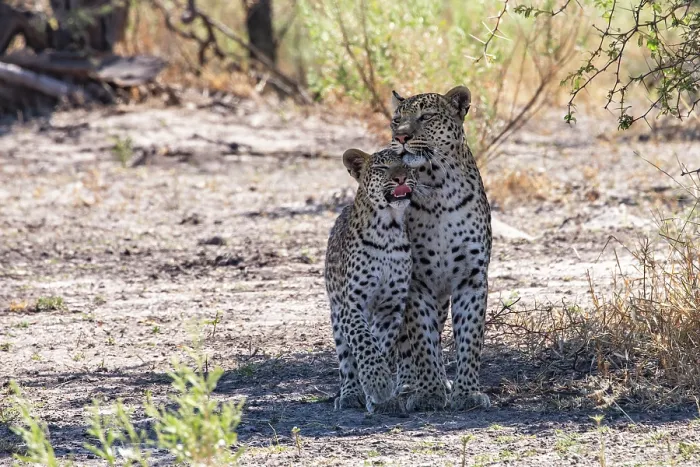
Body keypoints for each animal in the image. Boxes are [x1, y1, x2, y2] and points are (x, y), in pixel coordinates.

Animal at [325, 148, 417, 413]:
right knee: (346, 360)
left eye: (407, 165)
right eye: (382, 168)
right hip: (336, 314)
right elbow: (364, 342)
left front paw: (379, 390)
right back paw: (350, 393)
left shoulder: (391, 308)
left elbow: (380, 344)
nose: (400, 178)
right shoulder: (352, 305)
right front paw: (377, 384)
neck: (388, 229)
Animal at [388, 86, 492, 411]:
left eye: (426, 117)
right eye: (396, 120)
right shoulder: (416, 282)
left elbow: (470, 337)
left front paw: (467, 391)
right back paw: (408, 383)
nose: (401, 137)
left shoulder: (471, 277)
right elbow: (422, 340)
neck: (439, 184)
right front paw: (430, 392)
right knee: (406, 345)